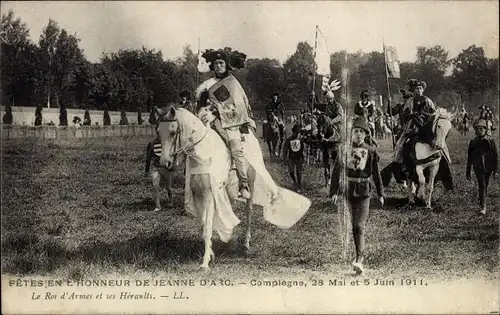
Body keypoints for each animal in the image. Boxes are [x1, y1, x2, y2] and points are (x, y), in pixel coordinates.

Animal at [154, 107, 310, 270]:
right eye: (158, 131)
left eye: (173, 132)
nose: (164, 162)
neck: (203, 152)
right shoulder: (198, 195)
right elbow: (204, 225)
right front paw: (211, 252)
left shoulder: (209, 195)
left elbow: (207, 227)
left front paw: (205, 262)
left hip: (251, 183)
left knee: (249, 211)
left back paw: (246, 242)